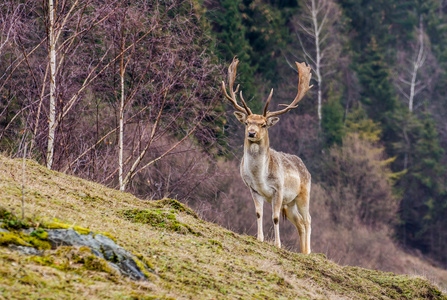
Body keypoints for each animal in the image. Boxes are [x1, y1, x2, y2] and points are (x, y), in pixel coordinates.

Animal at [222, 56, 314, 253]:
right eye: (247, 122)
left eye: (263, 124)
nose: (251, 133)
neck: (260, 176)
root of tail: (305, 167)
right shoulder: (253, 189)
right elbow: (258, 214)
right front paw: (259, 238)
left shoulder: (278, 189)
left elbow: (275, 217)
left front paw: (277, 244)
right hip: (290, 203)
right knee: (300, 223)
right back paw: (302, 252)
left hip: (303, 194)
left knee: (308, 220)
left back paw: (309, 252)